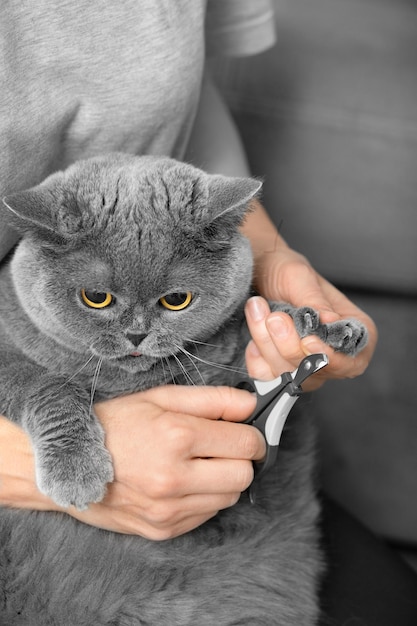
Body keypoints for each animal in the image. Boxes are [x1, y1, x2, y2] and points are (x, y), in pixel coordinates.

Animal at [0, 152, 366, 624]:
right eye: (96, 297)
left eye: (176, 300)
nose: (136, 335)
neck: (127, 379)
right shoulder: (8, 356)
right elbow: (49, 385)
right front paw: (76, 472)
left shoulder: (224, 351)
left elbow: (261, 320)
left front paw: (328, 328)